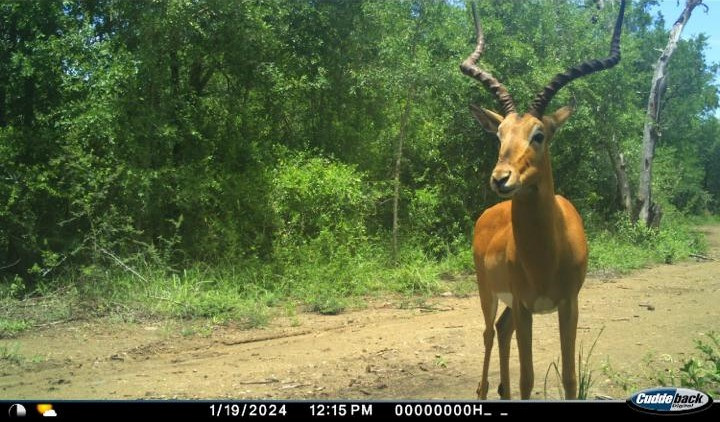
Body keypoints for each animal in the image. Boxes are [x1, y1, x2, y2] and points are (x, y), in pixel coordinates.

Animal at [460, 1, 626, 400]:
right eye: (500, 134)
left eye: (539, 134)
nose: (501, 178)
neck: (547, 254)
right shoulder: (526, 305)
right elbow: (528, 379)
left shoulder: (569, 305)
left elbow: (569, 378)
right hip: (487, 292)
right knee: (488, 333)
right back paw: (484, 390)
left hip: (511, 305)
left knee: (501, 331)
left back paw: (499, 390)